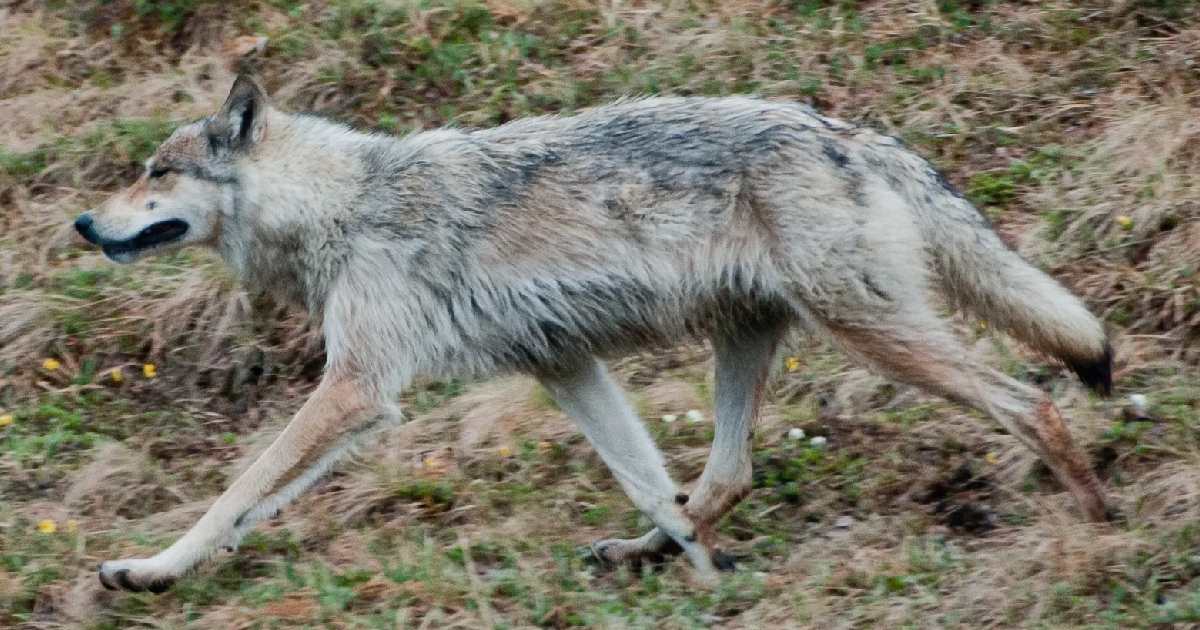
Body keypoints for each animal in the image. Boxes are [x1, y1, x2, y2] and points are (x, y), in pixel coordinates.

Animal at [75, 76, 1108, 592]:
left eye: (155, 173)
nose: (84, 224)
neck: (348, 207)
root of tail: (852, 132)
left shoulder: (359, 390)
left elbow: (234, 494)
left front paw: (151, 569)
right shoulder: (564, 367)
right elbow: (650, 482)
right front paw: (708, 581)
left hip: (873, 332)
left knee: (1031, 402)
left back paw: (1099, 522)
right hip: (750, 340)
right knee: (721, 479)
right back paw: (654, 556)